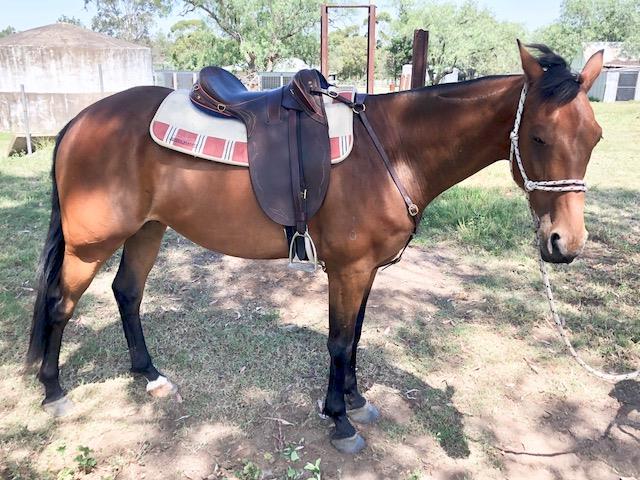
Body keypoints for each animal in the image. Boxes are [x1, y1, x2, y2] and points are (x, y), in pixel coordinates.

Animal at [26, 42, 604, 454]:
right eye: (538, 138)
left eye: (595, 137)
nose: (565, 244)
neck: (391, 148)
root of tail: (82, 120)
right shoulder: (347, 270)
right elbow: (340, 342)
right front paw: (340, 420)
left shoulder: (366, 271)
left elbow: (357, 336)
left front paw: (356, 400)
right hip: (89, 245)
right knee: (60, 304)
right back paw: (53, 392)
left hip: (147, 230)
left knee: (127, 293)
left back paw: (148, 375)